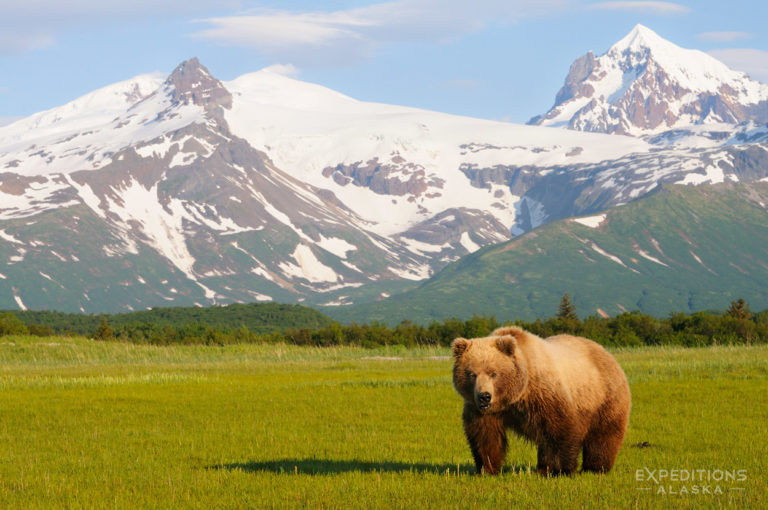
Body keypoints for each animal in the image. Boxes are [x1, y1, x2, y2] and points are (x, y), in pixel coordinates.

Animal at [452, 326, 631, 475]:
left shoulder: (544, 396)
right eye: (472, 374)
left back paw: (595, 467)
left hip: (603, 397)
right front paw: (488, 468)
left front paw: (560, 469)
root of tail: (606, 353)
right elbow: (485, 436)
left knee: (603, 435)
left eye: (494, 373)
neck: (515, 396)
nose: (485, 396)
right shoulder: (485, 411)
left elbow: (559, 430)